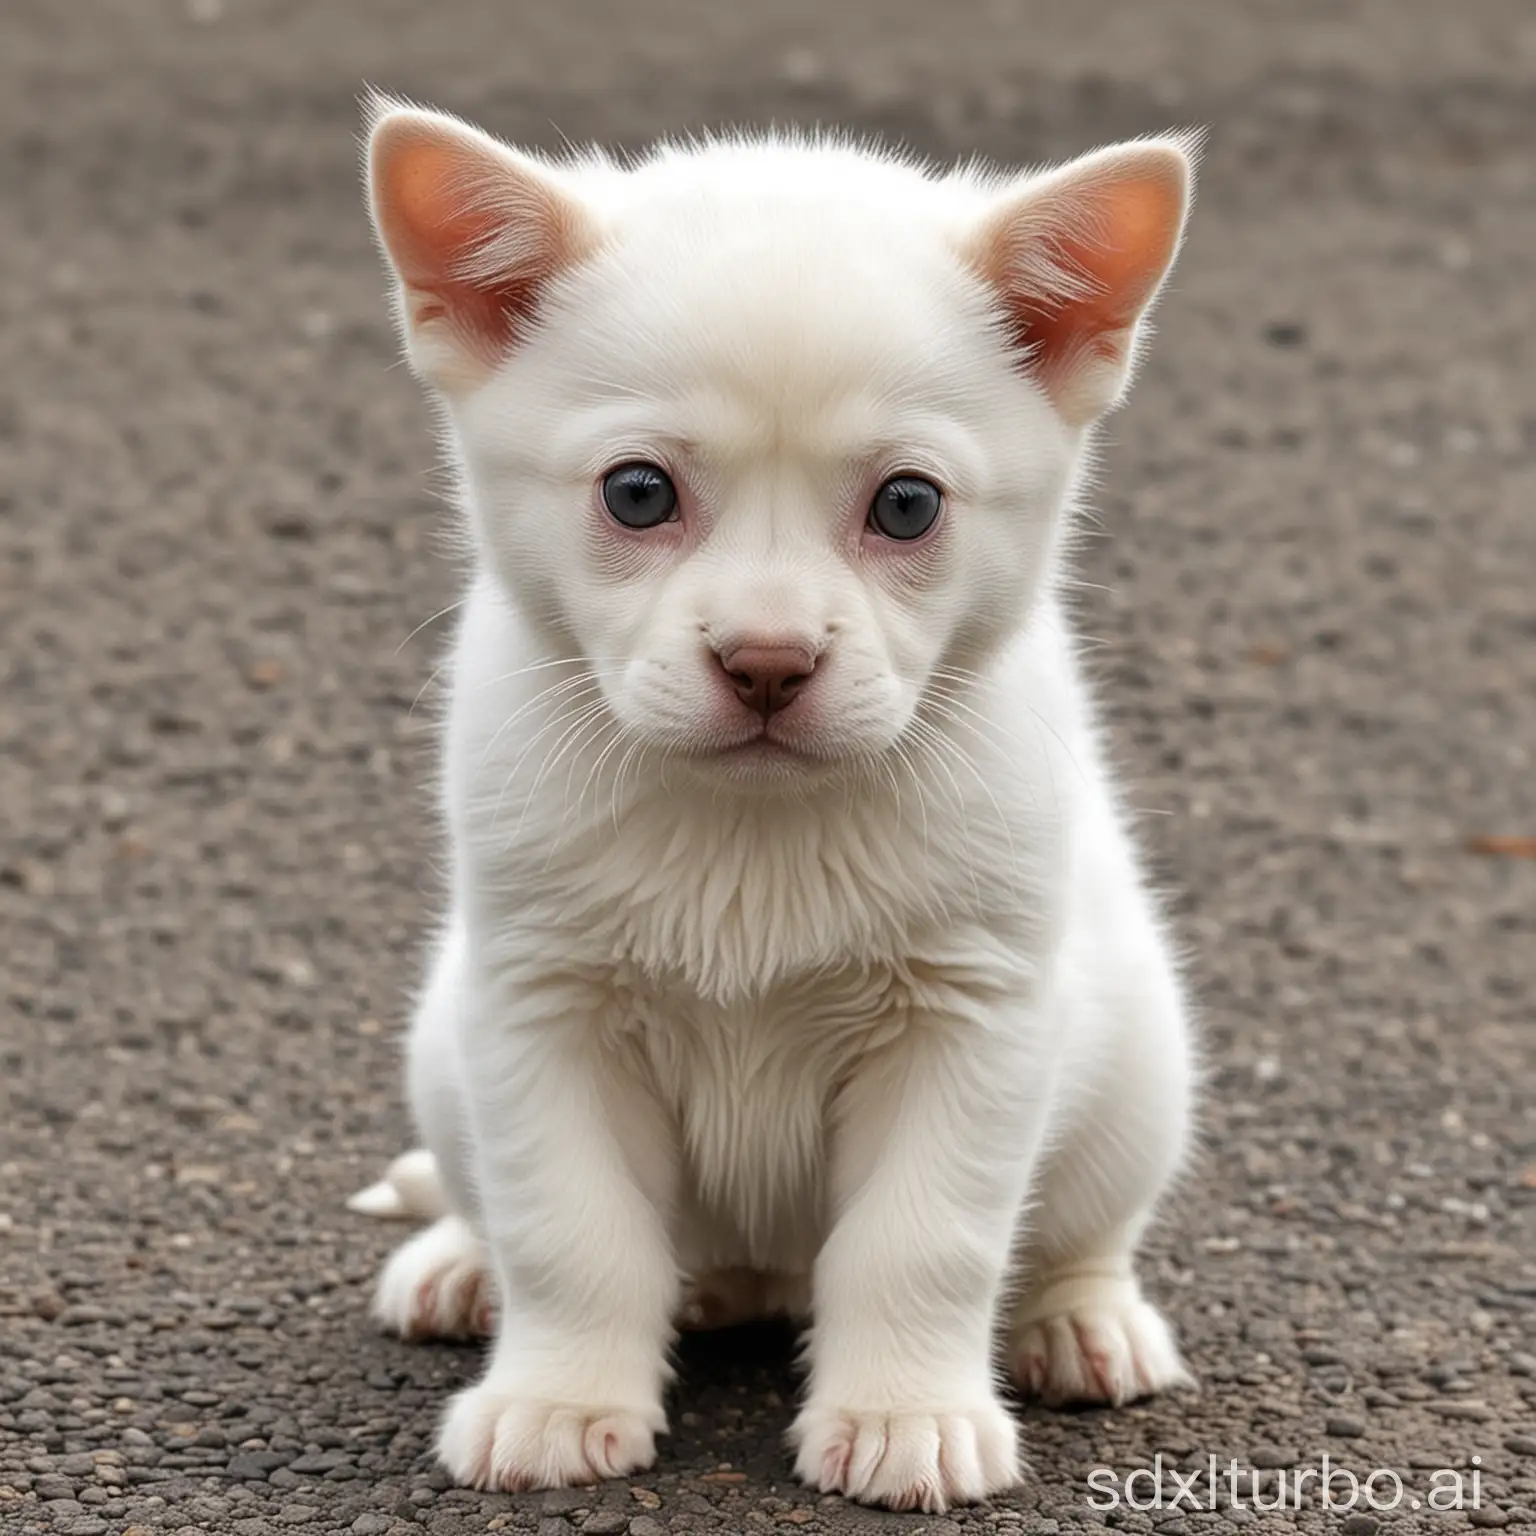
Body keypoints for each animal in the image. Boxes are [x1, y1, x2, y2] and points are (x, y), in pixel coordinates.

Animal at [351, 99, 1198, 1511]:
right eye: (638, 491)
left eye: (906, 504)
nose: (766, 663)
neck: (749, 831)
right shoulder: (541, 1007)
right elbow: (569, 1231)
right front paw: (557, 1398)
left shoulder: (970, 1019)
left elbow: (924, 1244)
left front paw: (908, 1415)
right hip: (443, 1042)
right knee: (502, 1207)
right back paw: (464, 1267)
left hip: (1141, 1067)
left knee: (1082, 1231)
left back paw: (1080, 1320)